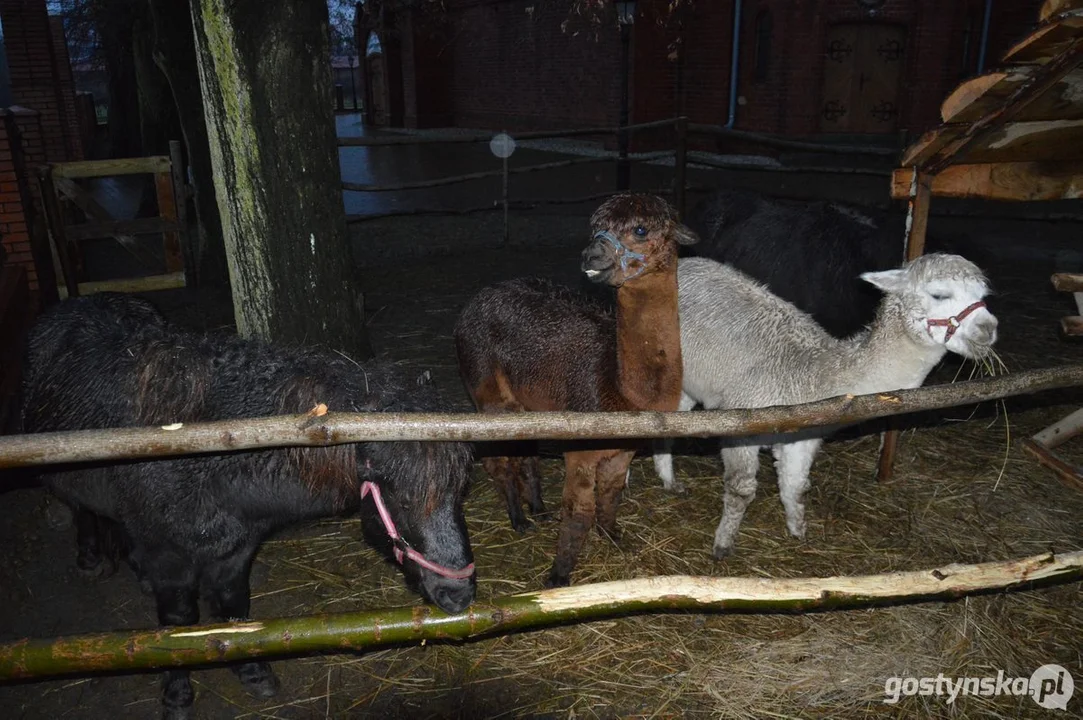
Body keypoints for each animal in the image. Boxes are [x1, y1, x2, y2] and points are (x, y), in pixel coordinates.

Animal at [21, 292, 476, 718]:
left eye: (459, 491)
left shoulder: (236, 551)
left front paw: (251, 671)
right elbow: (176, 626)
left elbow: (235, 609)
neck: (212, 452)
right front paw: (177, 694)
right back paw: (91, 557)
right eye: (400, 495)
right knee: (83, 511)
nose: (459, 595)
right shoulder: (169, 557)